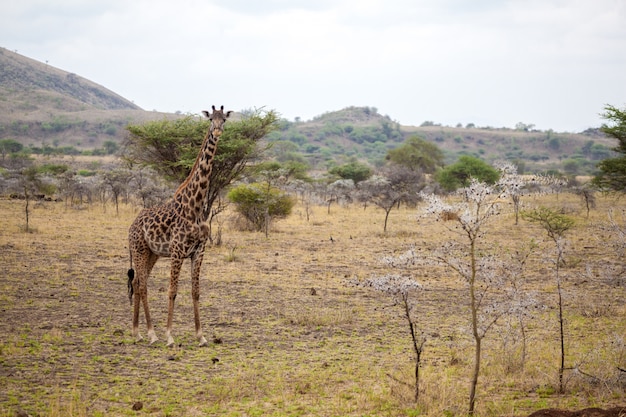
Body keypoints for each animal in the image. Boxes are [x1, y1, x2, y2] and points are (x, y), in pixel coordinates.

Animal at [125, 105, 230, 346]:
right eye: (210, 119)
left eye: (224, 120)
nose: (217, 131)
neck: (196, 207)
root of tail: (132, 226)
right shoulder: (177, 251)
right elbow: (172, 290)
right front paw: (170, 336)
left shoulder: (198, 251)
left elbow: (195, 292)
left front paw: (201, 336)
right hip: (139, 250)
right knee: (141, 285)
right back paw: (150, 334)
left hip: (152, 253)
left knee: (139, 284)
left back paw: (137, 332)